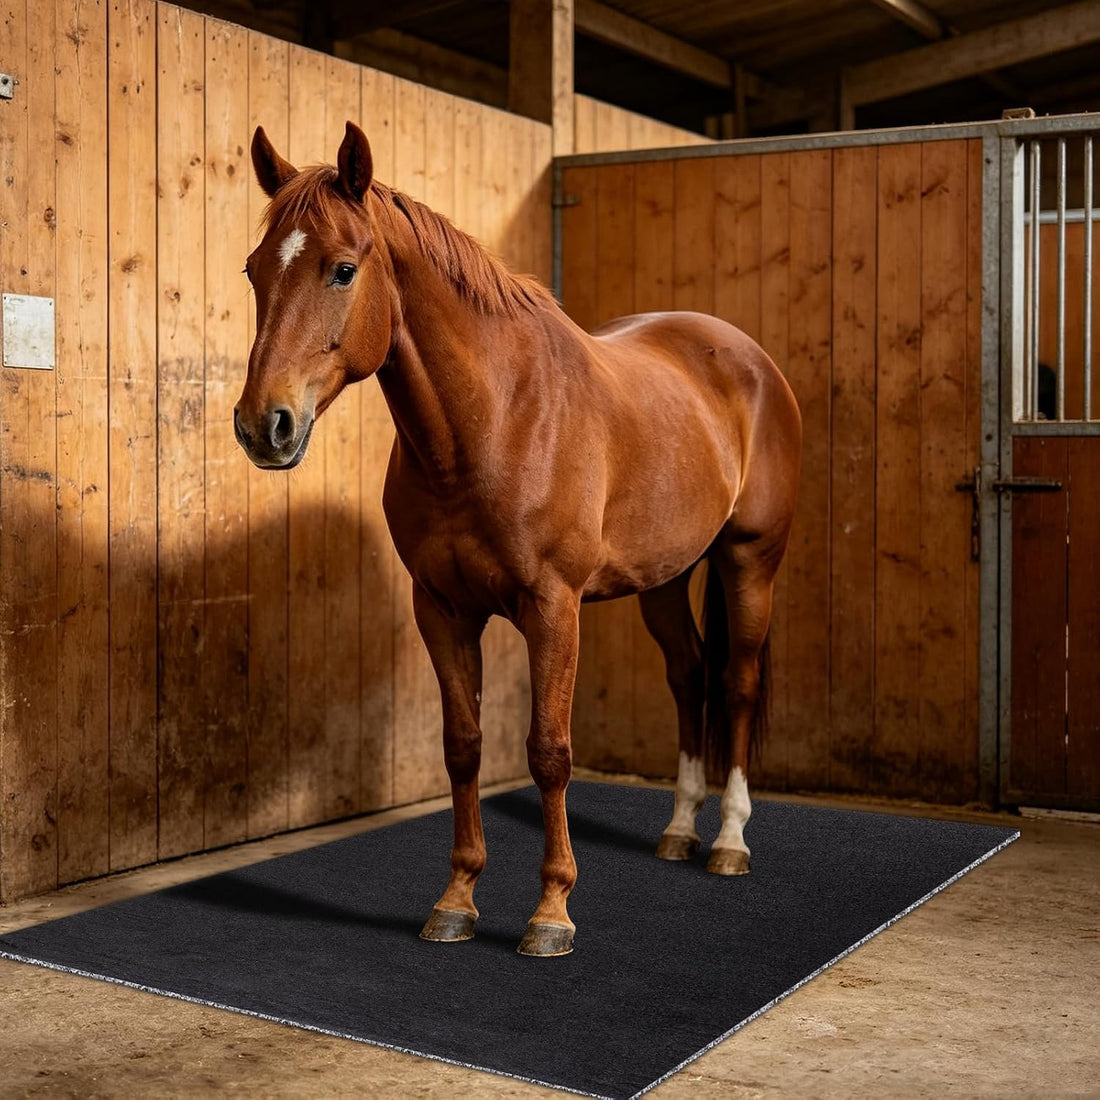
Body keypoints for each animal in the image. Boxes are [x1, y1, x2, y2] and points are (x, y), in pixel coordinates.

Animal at [235, 121, 802, 957]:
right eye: (254, 270)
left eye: (342, 269)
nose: (263, 426)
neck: (493, 422)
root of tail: (745, 355)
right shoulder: (441, 609)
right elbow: (463, 745)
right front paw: (457, 900)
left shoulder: (553, 610)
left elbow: (549, 751)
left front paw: (551, 912)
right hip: (665, 578)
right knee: (690, 674)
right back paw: (677, 831)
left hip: (748, 562)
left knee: (735, 681)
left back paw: (729, 840)